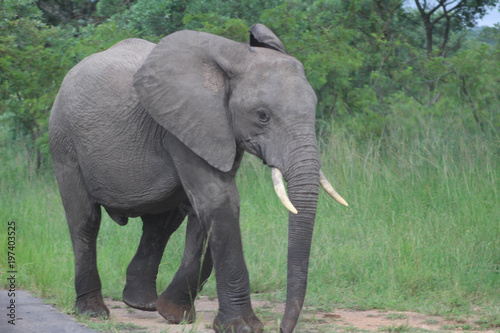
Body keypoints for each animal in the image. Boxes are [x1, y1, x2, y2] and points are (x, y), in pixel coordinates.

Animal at [49, 24, 348, 332]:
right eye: (262, 115)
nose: (282, 327)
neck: (235, 57)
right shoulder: (184, 122)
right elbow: (219, 201)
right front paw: (241, 327)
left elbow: (207, 210)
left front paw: (174, 314)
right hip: (64, 140)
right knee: (85, 221)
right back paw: (93, 312)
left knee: (162, 224)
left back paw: (142, 304)